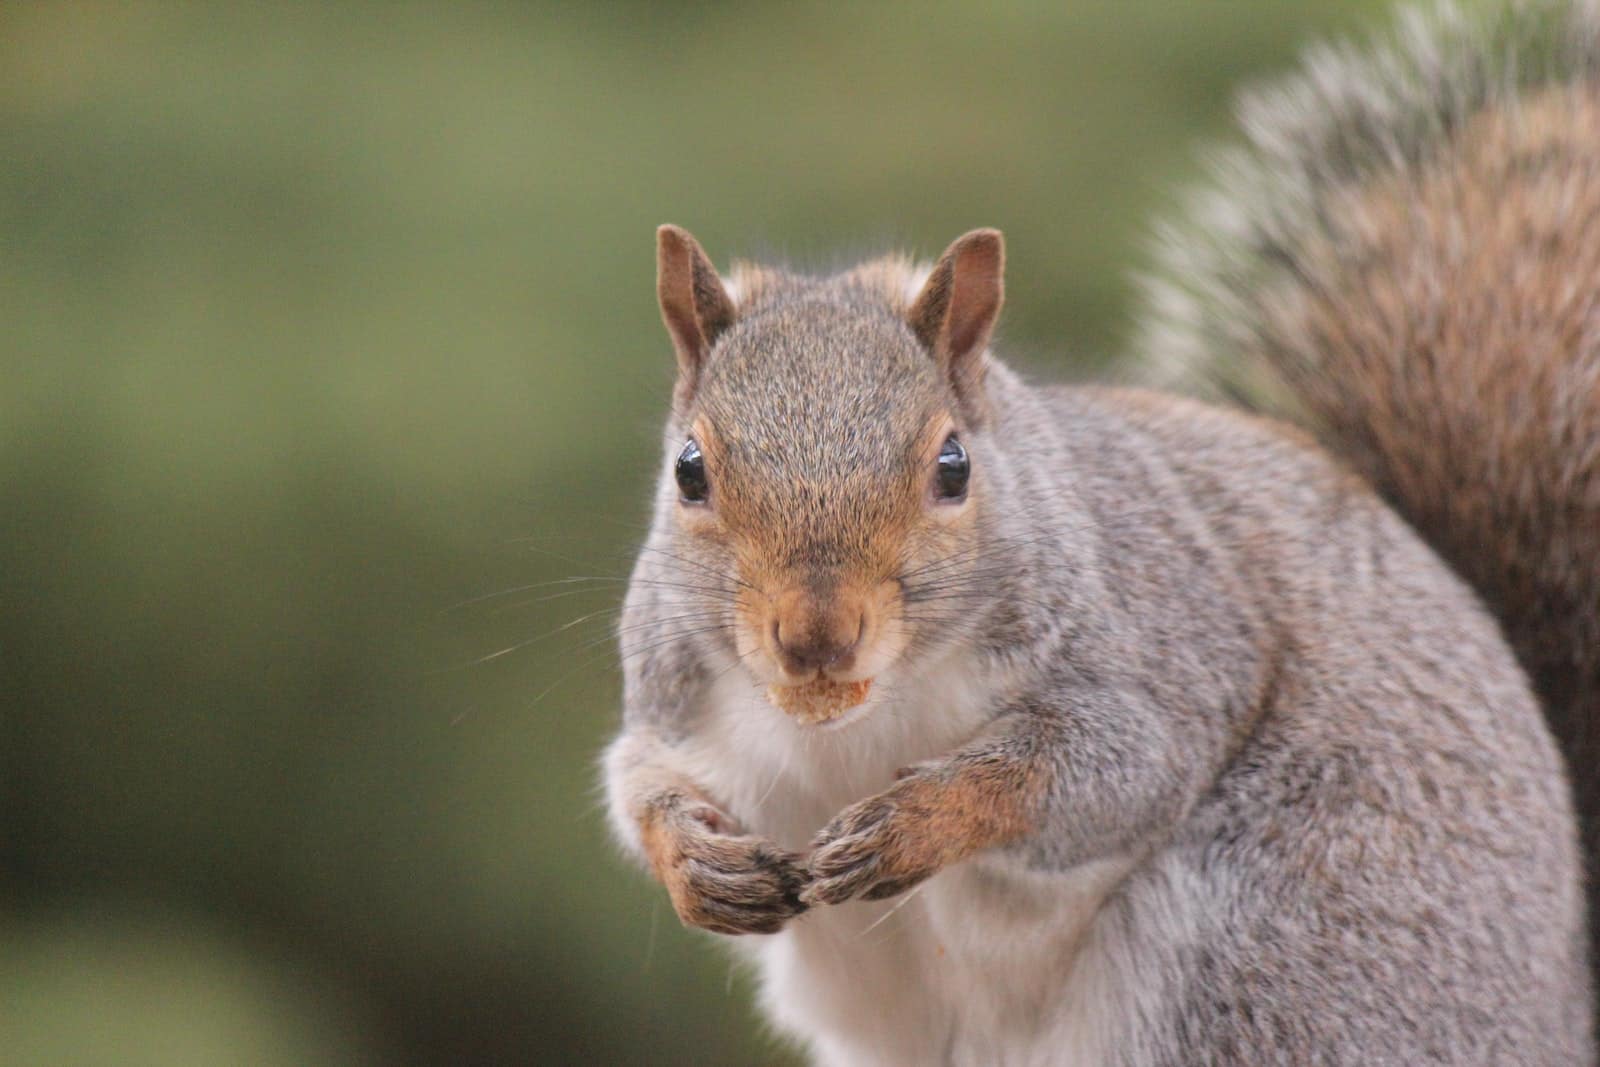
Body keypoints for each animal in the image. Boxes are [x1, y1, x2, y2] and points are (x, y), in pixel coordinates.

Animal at [601, 4, 1600, 1062]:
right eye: (689, 470)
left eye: (953, 466)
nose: (815, 637)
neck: (858, 723)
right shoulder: (673, 700)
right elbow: (636, 783)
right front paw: (694, 862)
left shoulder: (1157, 659)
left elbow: (1101, 774)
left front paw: (915, 821)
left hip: (1273, 957)